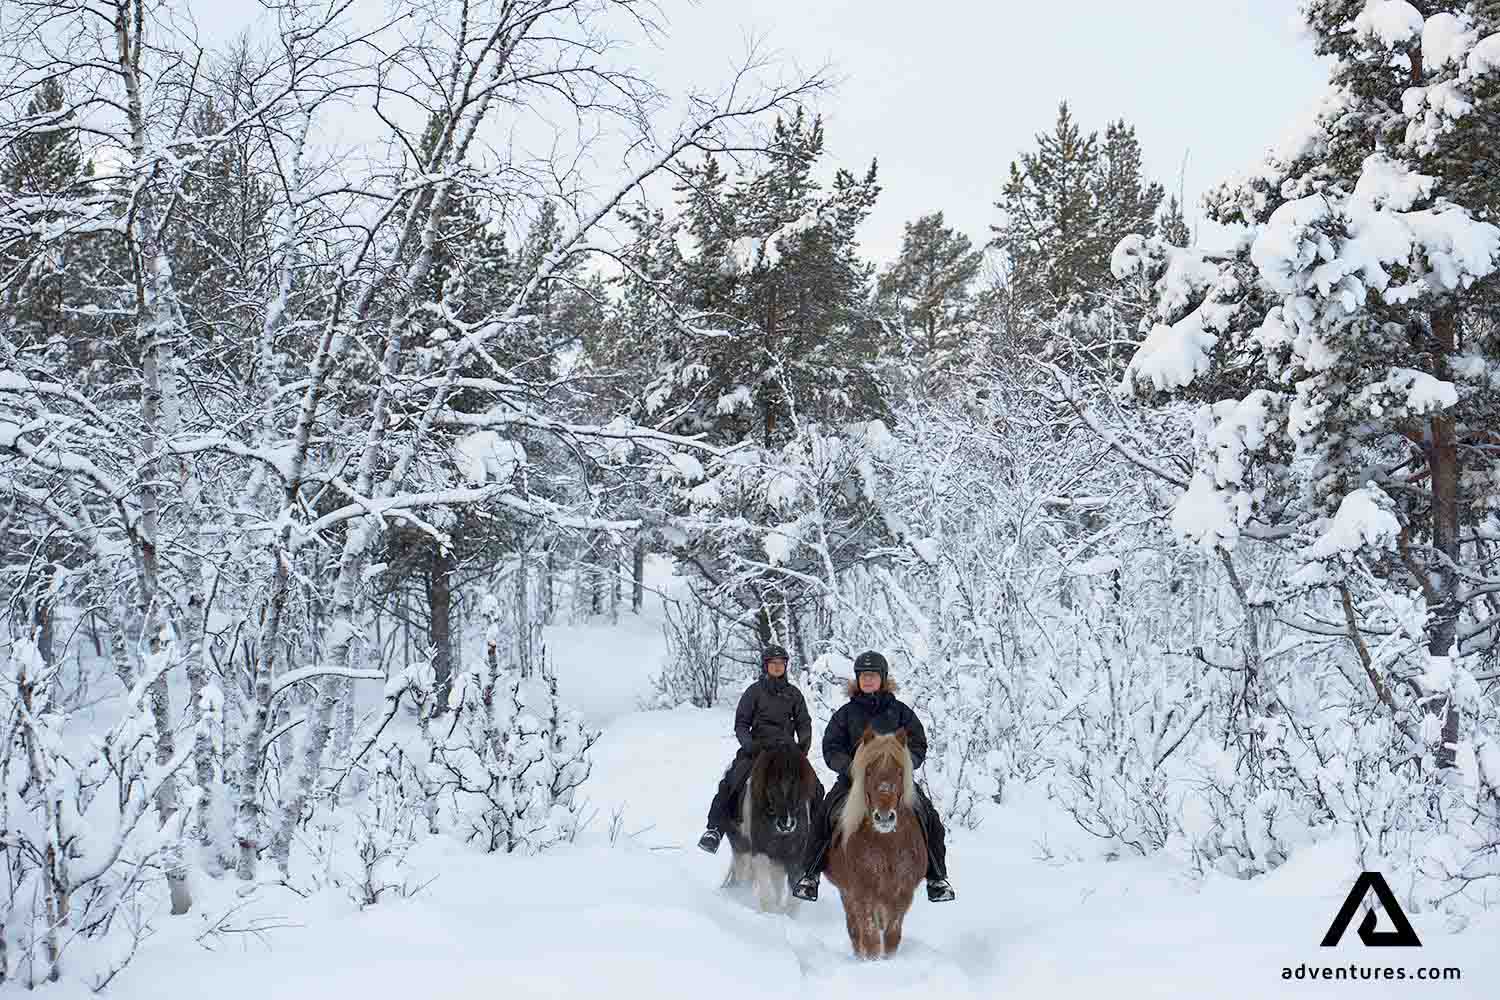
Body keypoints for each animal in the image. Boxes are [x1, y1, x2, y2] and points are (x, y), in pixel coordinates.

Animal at [723, 743, 820, 914]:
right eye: (772, 784)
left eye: (798, 783)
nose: (786, 824)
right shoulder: (761, 852)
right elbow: (766, 892)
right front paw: (771, 912)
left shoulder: (795, 857)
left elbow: (793, 899)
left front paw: (785, 914)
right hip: (742, 848)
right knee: (742, 874)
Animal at [825, 725, 926, 959]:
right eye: (869, 771)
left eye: (900, 772)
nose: (884, 817)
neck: (886, 843)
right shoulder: (862, 892)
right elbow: (870, 938)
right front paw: (872, 962)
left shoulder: (903, 893)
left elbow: (891, 936)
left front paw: (889, 960)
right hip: (847, 894)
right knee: (855, 930)